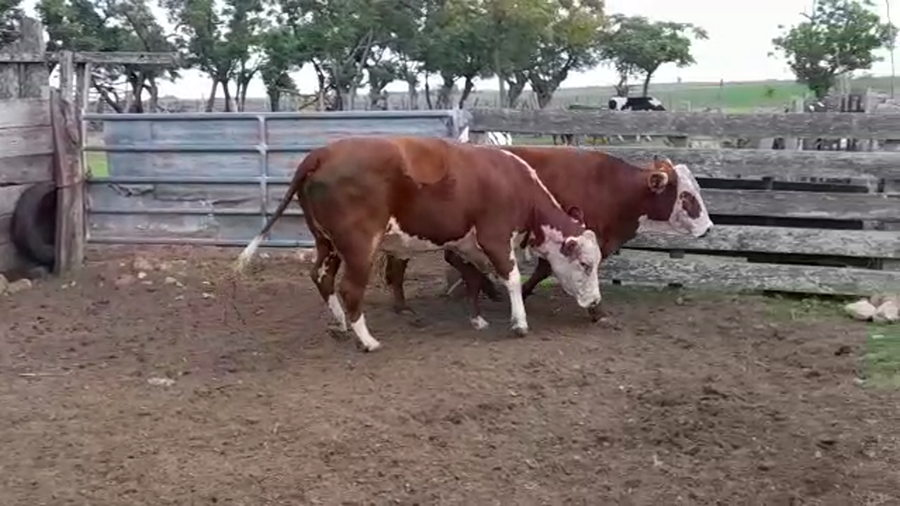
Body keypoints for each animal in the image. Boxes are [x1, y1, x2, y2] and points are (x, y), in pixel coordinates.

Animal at [233, 136, 604, 352]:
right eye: (586, 264)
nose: (597, 306)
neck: (516, 186)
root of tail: (320, 155)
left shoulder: (463, 243)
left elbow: (473, 278)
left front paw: (478, 320)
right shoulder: (494, 237)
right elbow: (510, 278)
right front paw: (520, 323)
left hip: (326, 241)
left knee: (322, 278)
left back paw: (340, 325)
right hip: (359, 245)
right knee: (350, 289)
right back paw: (368, 340)